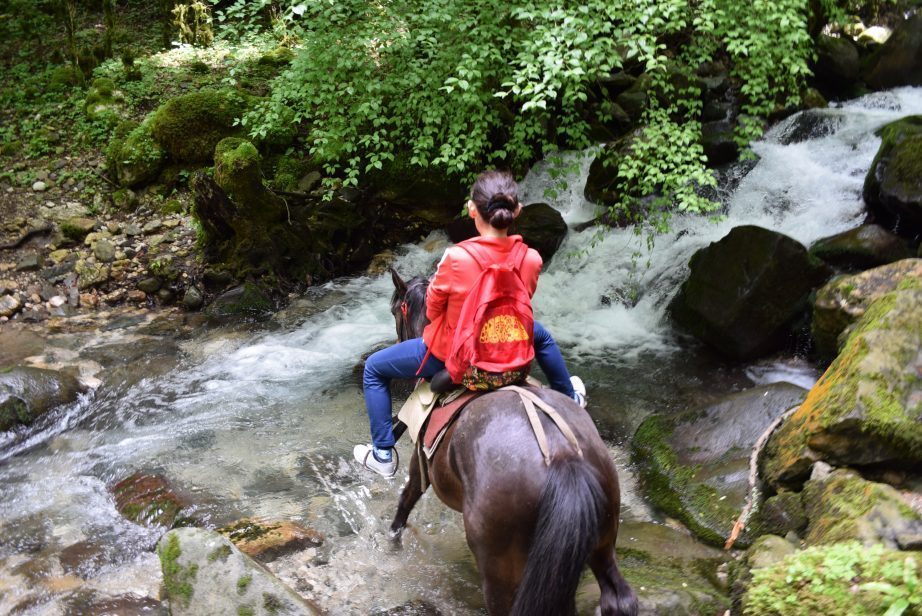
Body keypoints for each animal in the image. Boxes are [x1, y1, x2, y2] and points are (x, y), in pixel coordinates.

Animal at [384, 270, 636, 616]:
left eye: (395, 311)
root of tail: (560, 457)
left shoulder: (420, 463)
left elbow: (406, 499)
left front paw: (392, 539)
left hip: (499, 563)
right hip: (601, 539)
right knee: (616, 598)